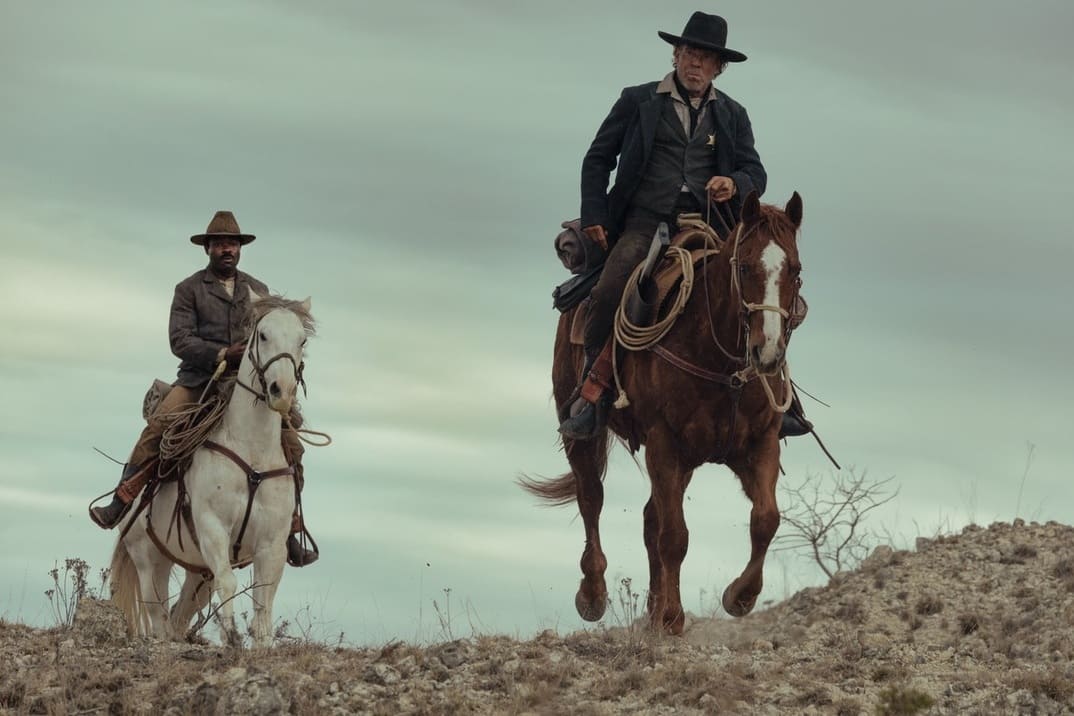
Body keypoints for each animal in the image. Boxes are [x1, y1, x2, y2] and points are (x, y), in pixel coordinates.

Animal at [108, 291, 311, 648]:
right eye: (262, 335)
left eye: (302, 340)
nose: (281, 391)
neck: (253, 454)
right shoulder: (212, 527)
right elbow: (228, 583)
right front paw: (230, 636)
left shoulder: (272, 543)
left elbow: (263, 603)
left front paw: (260, 647)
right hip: (149, 558)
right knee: (159, 613)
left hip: (196, 571)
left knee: (180, 614)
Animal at [519, 190, 807, 631]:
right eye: (744, 266)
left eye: (795, 269)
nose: (768, 352)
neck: (719, 361)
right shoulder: (663, 441)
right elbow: (674, 535)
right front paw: (672, 616)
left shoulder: (759, 444)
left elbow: (765, 519)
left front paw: (739, 597)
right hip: (580, 430)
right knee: (592, 498)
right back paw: (594, 595)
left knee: (648, 517)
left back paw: (653, 609)